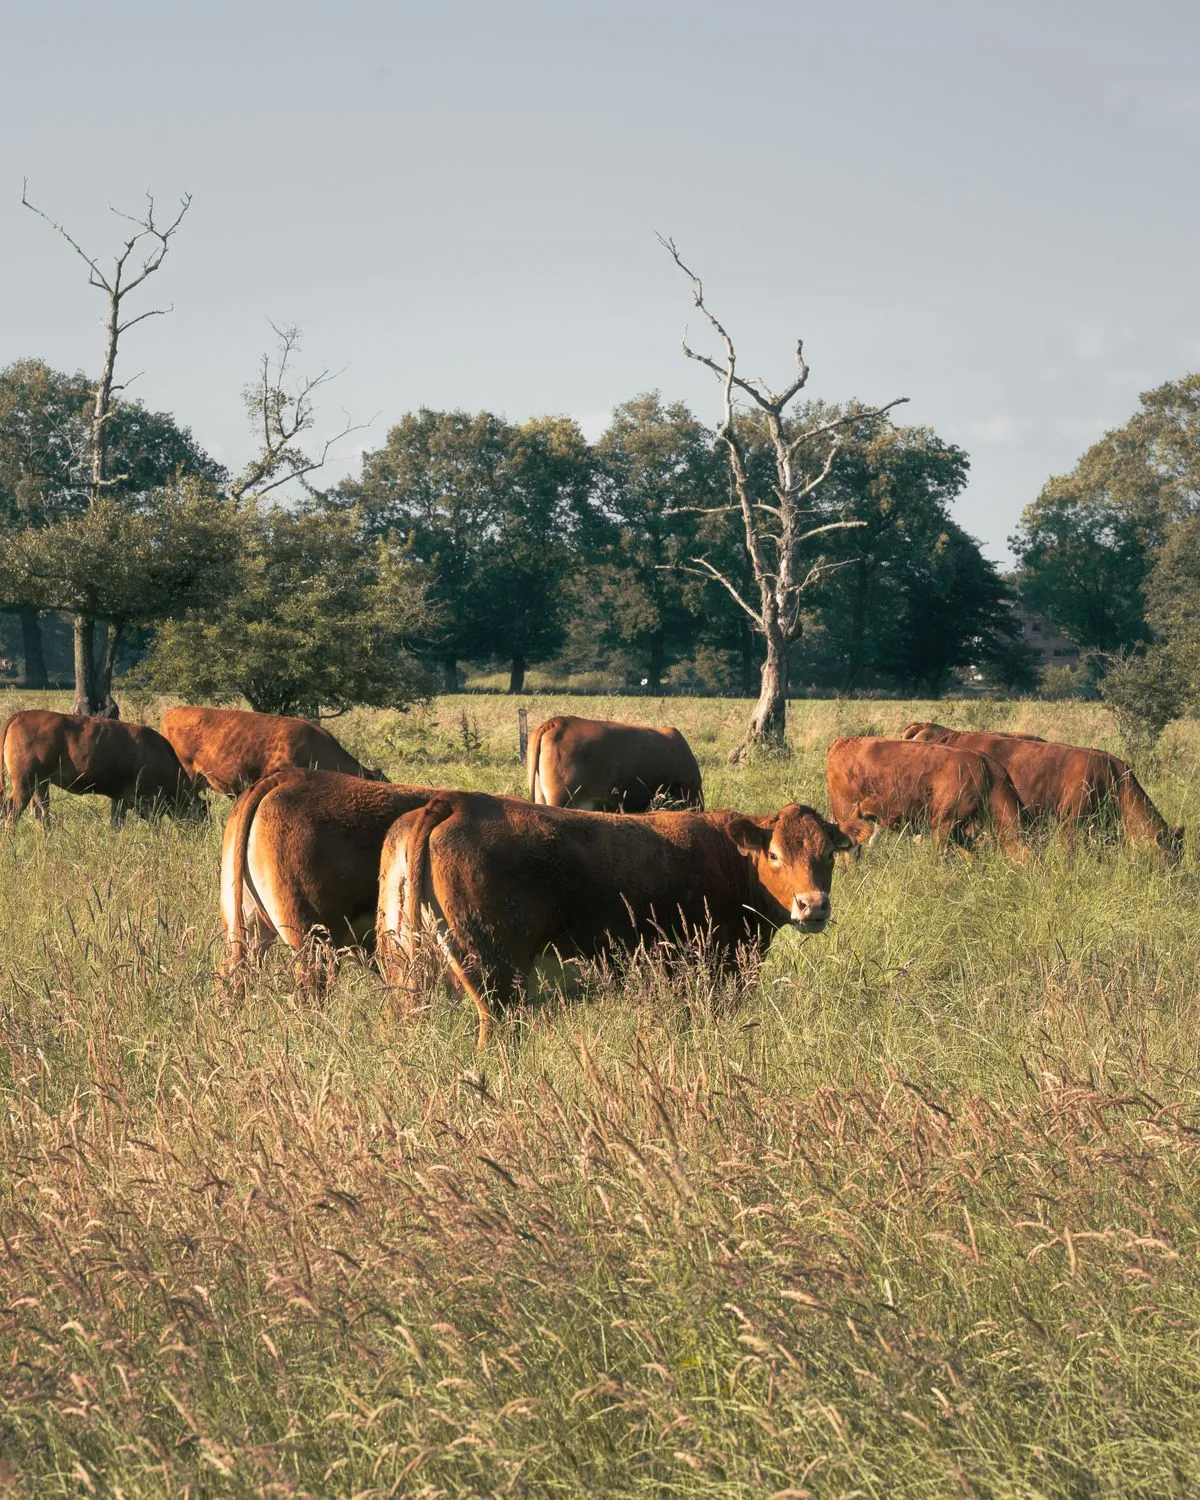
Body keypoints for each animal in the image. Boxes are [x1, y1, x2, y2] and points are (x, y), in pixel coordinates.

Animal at [1, 709, 204, 829]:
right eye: (203, 816)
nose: (200, 836)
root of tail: (22, 714)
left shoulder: (120, 798)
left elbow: (116, 823)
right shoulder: (147, 800)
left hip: (40, 783)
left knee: (40, 811)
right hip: (24, 783)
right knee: (13, 809)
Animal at [376, 791, 872, 1048]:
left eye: (829, 854)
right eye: (774, 854)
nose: (813, 905)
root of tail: (455, 801)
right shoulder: (712, 973)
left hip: (404, 969)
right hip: (497, 976)